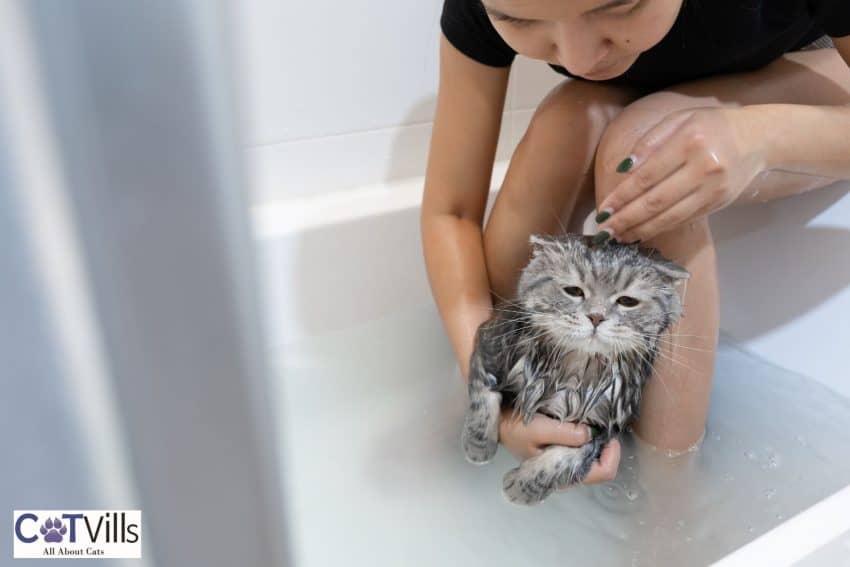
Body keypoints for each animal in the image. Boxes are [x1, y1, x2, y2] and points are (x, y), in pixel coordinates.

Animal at [460, 231, 684, 506]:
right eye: (574, 291)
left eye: (627, 301)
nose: (596, 317)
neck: (577, 366)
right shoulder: (490, 342)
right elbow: (483, 396)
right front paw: (478, 446)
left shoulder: (604, 423)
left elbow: (565, 459)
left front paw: (523, 486)